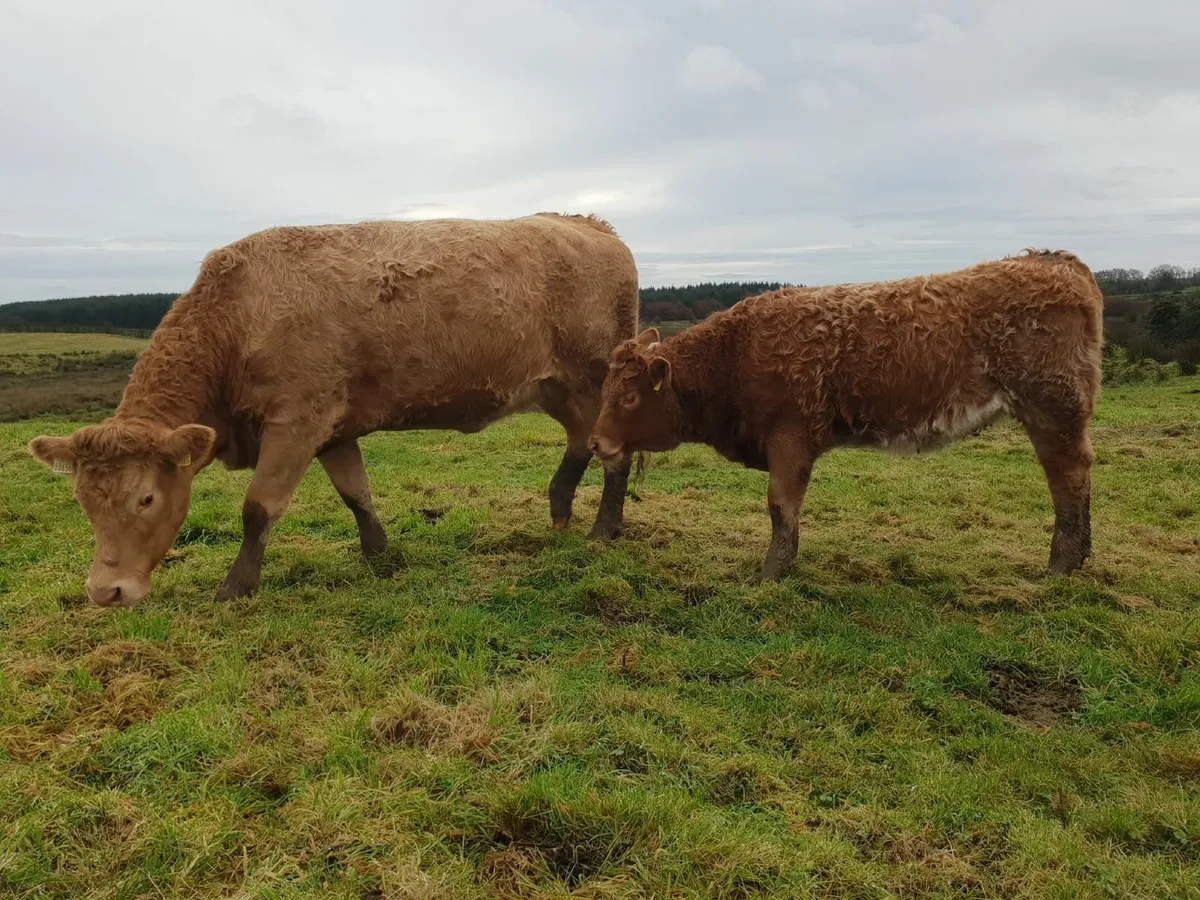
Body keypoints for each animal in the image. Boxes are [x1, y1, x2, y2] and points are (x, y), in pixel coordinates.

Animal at [28, 213, 640, 607]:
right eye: (84, 502)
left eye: (146, 498)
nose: (105, 592)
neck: (241, 314)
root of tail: (586, 222)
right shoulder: (333, 429)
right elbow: (356, 493)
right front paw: (379, 555)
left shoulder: (297, 421)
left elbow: (259, 508)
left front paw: (236, 587)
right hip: (557, 387)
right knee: (579, 441)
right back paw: (559, 507)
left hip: (600, 381)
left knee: (614, 453)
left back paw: (603, 529)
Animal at [588, 250, 1104, 582]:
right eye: (605, 391)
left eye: (629, 398)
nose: (596, 443)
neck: (734, 355)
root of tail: (1052, 259)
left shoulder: (791, 437)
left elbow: (780, 507)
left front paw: (771, 574)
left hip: (1052, 407)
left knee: (1068, 478)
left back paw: (1060, 566)